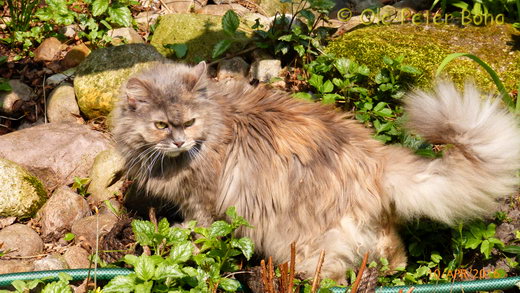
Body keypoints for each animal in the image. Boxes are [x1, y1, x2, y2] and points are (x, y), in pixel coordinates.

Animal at [114, 61, 520, 280]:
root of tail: (376, 160)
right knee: (393, 251)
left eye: (189, 122)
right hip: (372, 230)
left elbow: (199, 231)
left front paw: (183, 242)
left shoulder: (203, 203)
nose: (180, 142)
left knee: (332, 274)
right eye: (162, 126)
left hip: (305, 243)